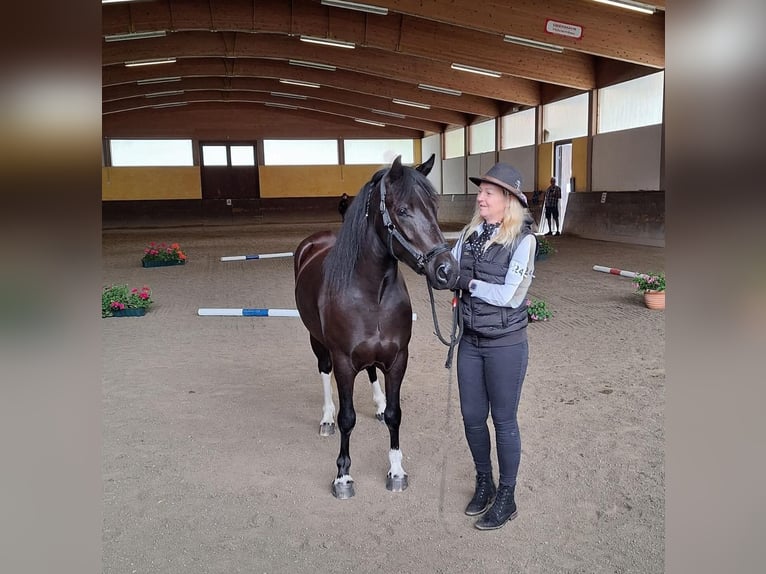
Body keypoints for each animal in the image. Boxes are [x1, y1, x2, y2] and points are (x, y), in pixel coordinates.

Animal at [294, 154, 460, 500]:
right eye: (403, 210)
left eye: (435, 208)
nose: (447, 271)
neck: (372, 293)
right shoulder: (344, 362)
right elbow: (348, 418)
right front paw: (343, 476)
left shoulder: (397, 358)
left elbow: (396, 415)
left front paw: (396, 470)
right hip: (318, 341)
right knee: (324, 372)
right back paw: (326, 419)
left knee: (371, 371)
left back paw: (379, 405)